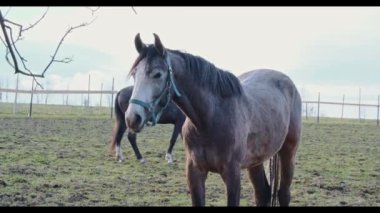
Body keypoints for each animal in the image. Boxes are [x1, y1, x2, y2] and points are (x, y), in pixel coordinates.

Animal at [126, 33, 302, 206]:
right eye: (134, 74)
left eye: (157, 74)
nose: (132, 118)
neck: (209, 119)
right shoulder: (195, 173)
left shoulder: (232, 174)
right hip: (256, 161)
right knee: (262, 193)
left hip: (288, 153)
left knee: (283, 193)